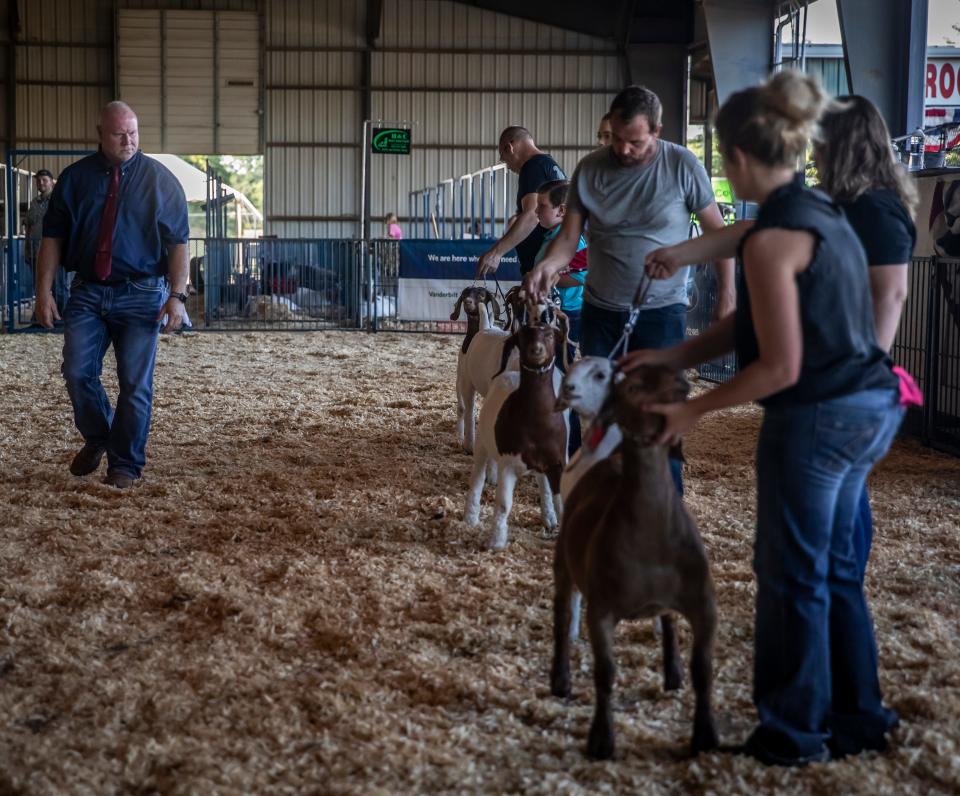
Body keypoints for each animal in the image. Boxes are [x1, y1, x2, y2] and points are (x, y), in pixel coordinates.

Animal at [552, 366, 716, 760]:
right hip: (564, 564)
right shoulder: (601, 610)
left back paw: (672, 674)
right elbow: (605, 672)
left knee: (668, 620)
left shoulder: (703, 604)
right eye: (631, 386)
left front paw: (705, 735)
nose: (682, 383)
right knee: (562, 617)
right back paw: (560, 680)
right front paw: (601, 739)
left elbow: (703, 669)